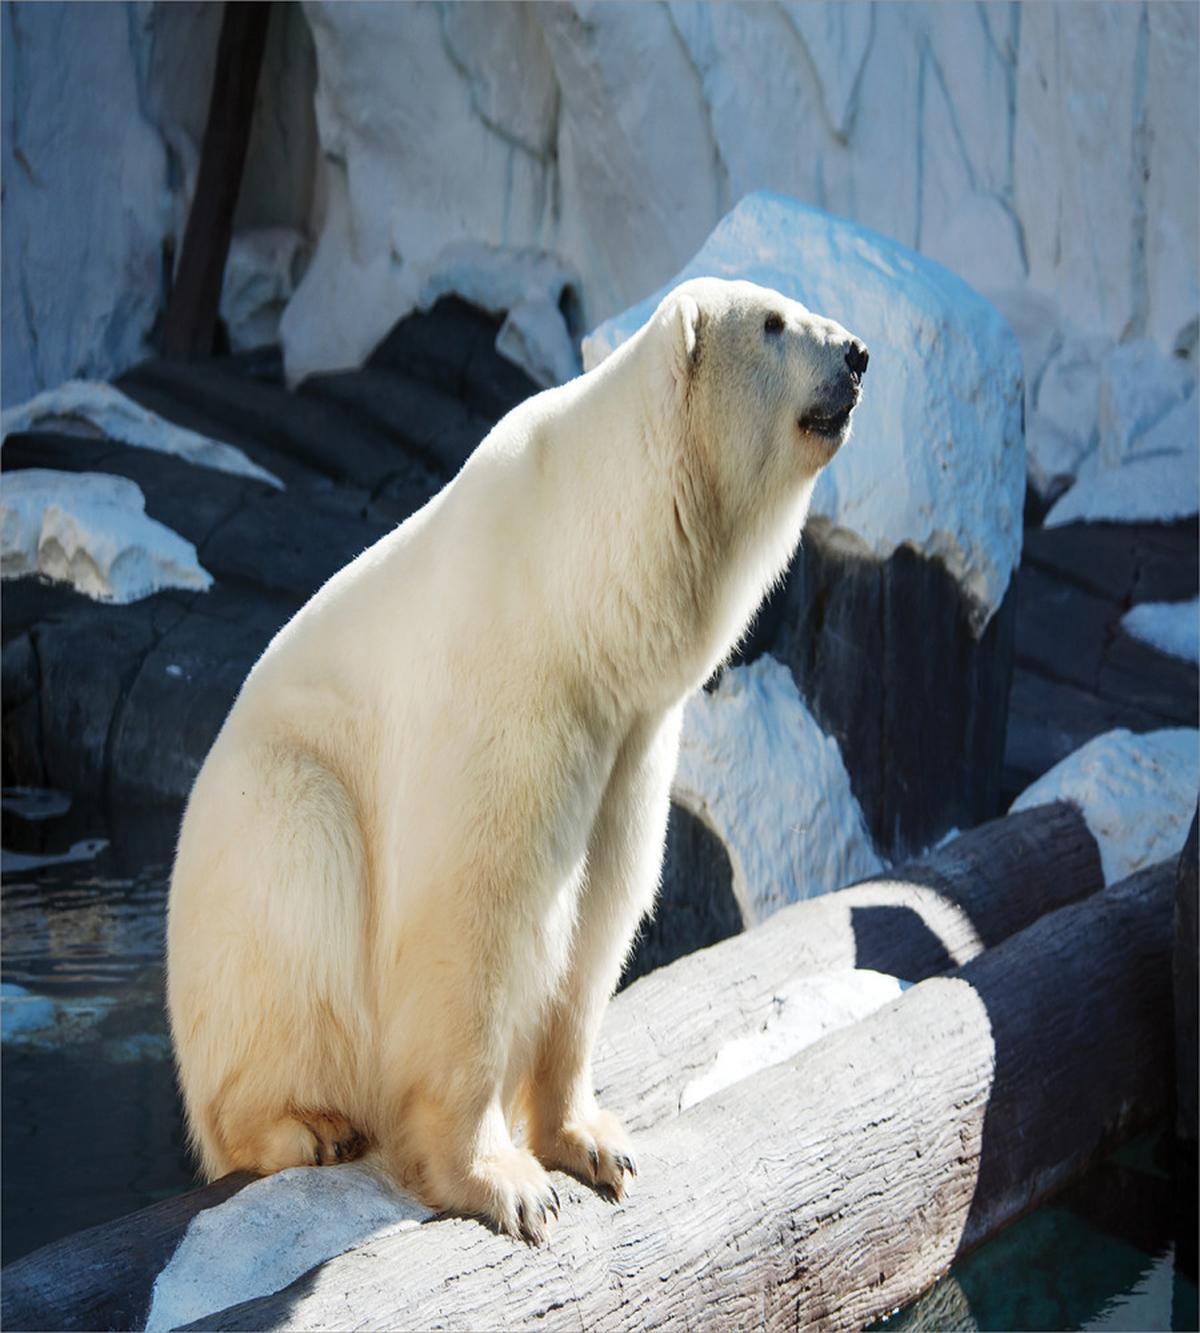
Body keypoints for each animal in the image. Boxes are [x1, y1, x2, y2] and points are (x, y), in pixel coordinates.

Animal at [166, 276, 868, 1243]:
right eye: (772, 322)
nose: (857, 354)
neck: (580, 581)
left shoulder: (628, 733)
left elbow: (601, 907)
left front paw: (597, 1142)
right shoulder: (509, 690)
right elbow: (475, 911)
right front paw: (506, 1182)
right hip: (267, 821)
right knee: (303, 885)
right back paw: (305, 1125)